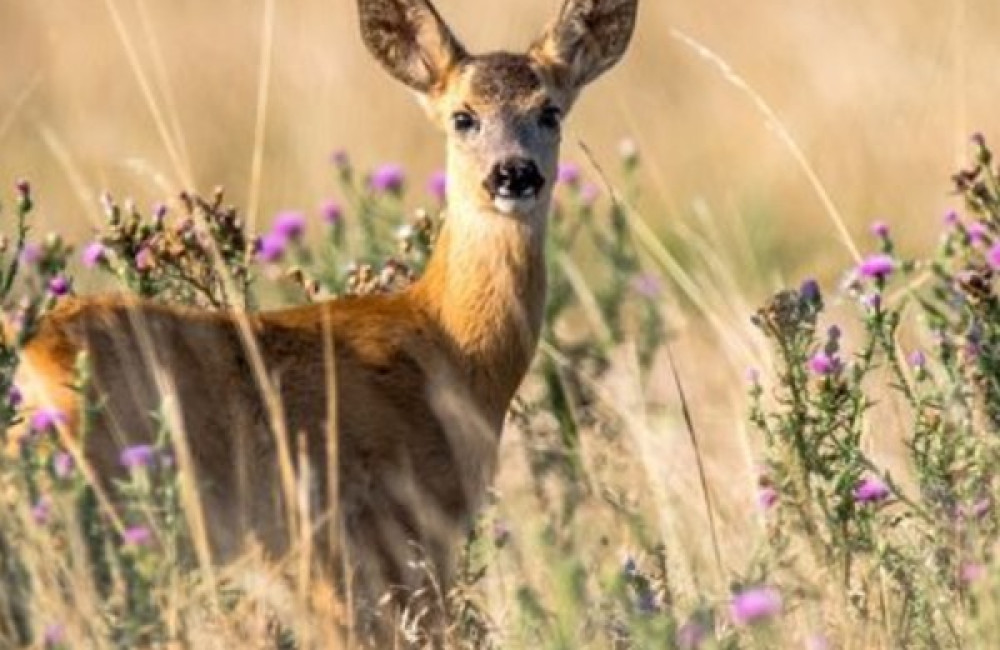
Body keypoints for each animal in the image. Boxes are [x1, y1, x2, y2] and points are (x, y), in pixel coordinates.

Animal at [15, 0, 636, 636]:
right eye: (463, 117)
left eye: (549, 111)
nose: (514, 173)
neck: (449, 347)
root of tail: (35, 360)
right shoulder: (380, 536)